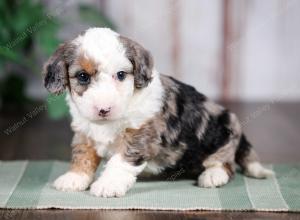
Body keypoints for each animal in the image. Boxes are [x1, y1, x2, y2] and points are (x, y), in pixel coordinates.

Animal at [42, 27, 274, 198]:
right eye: (82, 76)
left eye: (121, 75)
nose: (103, 109)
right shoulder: (84, 131)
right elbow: (82, 155)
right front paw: (74, 178)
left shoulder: (140, 133)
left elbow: (120, 160)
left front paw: (108, 184)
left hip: (224, 134)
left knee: (226, 163)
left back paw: (213, 175)